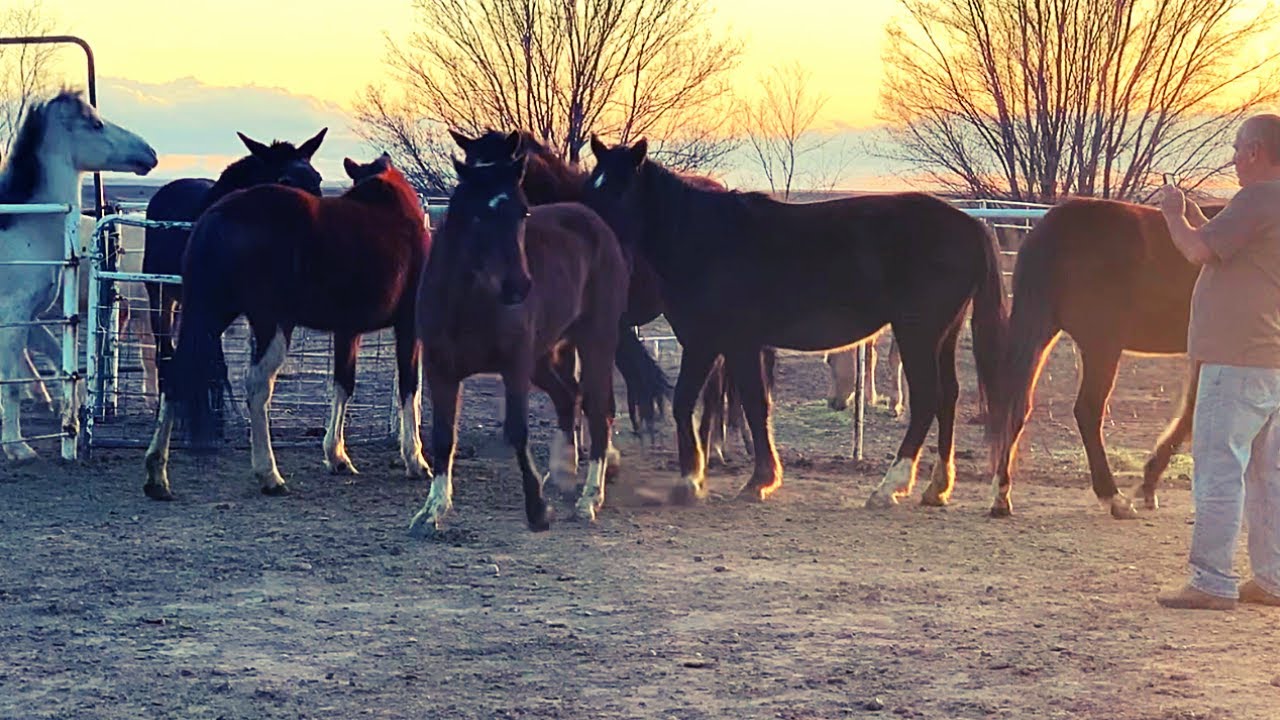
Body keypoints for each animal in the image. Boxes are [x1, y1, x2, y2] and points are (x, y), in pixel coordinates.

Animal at [0, 89, 157, 460]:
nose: (150, 154)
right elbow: (11, 382)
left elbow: (57, 356)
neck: (27, 231)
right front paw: (18, 447)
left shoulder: (33, 317)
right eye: (96, 124)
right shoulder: (14, 317)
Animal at [142, 153, 431, 500]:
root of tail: (218, 214)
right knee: (257, 386)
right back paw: (269, 475)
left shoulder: (348, 331)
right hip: (270, 322)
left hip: (209, 313)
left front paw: (337, 456)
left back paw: (157, 475)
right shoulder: (407, 326)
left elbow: (343, 385)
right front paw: (415, 460)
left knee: (175, 375)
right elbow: (409, 388)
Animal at [408, 153, 629, 533]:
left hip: (594, 342)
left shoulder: (514, 366)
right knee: (569, 398)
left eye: (523, 212)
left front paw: (537, 509)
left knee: (598, 411)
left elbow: (516, 431)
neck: (468, 301)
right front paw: (432, 509)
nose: (519, 286)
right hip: (543, 359)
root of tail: (595, 223)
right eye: (478, 214)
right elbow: (443, 436)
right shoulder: (441, 369)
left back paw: (589, 499)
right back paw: (564, 474)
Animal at [584, 136, 1008, 507]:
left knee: (926, 399)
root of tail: (970, 225)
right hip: (944, 336)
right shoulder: (708, 343)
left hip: (917, 333)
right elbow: (689, 402)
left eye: (620, 189)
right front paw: (693, 478)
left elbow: (751, 404)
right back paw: (937, 487)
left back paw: (890, 486)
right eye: (593, 185)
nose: (588, 232)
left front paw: (755, 480)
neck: (705, 240)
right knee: (948, 396)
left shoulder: (730, 344)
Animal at [989, 198, 1221, 519]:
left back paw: (1001, 495)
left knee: (1018, 405)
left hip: (1044, 333)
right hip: (1102, 347)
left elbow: (1189, 411)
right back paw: (1113, 497)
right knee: (1087, 411)